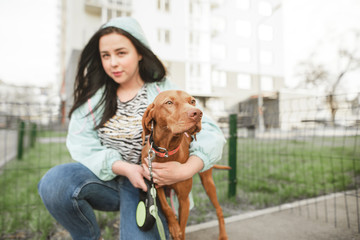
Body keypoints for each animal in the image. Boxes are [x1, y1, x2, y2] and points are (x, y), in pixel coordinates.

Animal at [141, 90, 228, 240]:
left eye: (192, 101)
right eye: (169, 102)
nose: (198, 113)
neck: (167, 152)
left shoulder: (184, 199)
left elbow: (182, 228)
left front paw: (177, 229)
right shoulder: (155, 185)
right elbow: (166, 207)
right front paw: (173, 226)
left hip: (208, 182)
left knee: (219, 209)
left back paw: (223, 235)